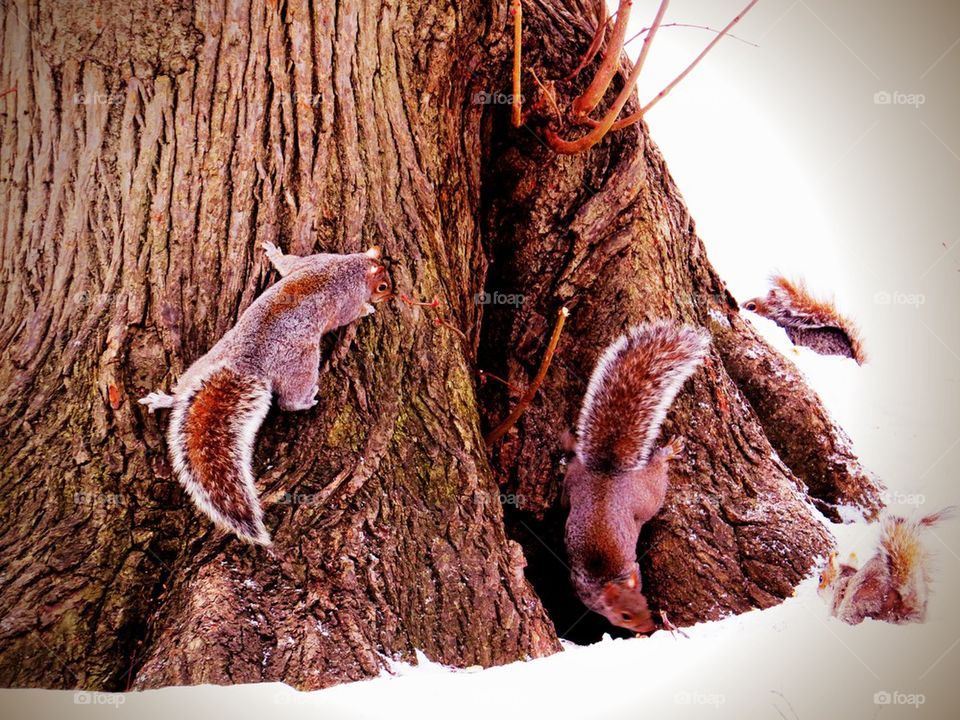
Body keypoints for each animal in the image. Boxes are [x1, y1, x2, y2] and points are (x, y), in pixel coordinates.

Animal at [138, 242, 392, 545]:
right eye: (383, 286)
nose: (389, 297)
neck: (352, 267)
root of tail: (249, 361)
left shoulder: (314, 262)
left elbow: (288, 265)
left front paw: (273, 254)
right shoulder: (346, 300)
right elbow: (348, 314)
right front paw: (367, 308)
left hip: (206, 362)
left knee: (183, 391)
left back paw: (165, 399)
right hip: (303, 364)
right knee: (289, 401)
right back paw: (307, 399)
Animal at [563, 321, 710, 633]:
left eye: (645, 601)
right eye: (625, 616)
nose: (650, 628)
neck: (607, 581)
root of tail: (607, 471)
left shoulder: (634, 570)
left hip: (617, 489)